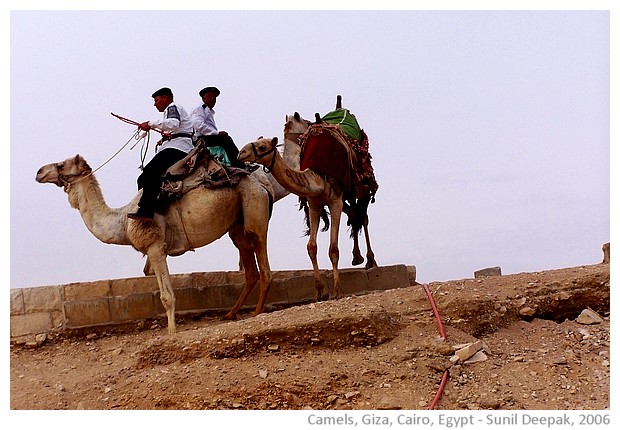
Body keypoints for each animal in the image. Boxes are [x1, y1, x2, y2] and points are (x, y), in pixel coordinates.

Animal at [35, 155, 274, 336]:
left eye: (61, 165)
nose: (39, 172)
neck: (123, 220)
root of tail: (262, 182)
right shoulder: (156, 251)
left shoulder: (155, 246)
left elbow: (167, 296)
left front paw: (171, 332)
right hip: (237, 224)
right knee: (250, 267)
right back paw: (231, 314)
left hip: (254, 205)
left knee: (262, 260)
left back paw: (257, 313)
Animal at [237, 131, 372, 302]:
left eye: (262, 146)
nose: (241, 153)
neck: (317, 179)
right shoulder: (314, 204)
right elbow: (311, 247)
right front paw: (320, 292)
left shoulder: (335, 201)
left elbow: (333, 249)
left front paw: (337, 291)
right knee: (355, 215)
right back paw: (357, 258)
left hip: (358, 189)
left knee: (363, 216)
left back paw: (370, 260)